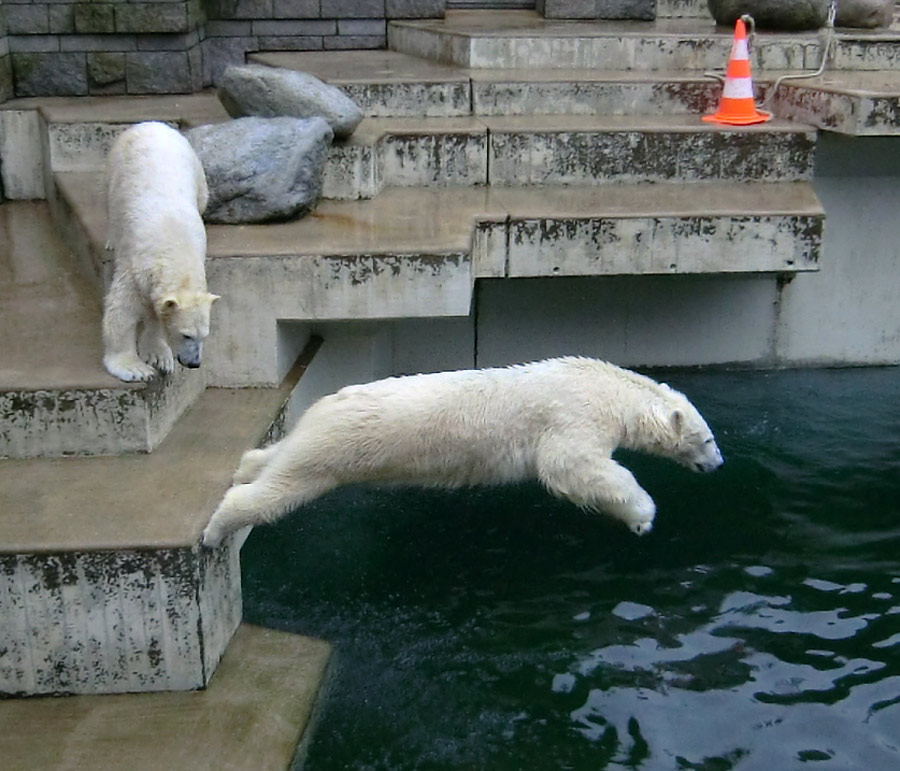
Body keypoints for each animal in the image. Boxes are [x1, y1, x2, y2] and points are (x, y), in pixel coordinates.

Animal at [101, 120, 218, 382]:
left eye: (204, 335)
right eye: (186, 334)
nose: (194, 363)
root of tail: (151, 124)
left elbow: (155, 314)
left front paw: (158, 355)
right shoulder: (135, 268)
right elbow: (122, 310)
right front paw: (134, 368)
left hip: (197, 169)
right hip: (115, 166)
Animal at [202, 358, 724, 548]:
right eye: (707, 438)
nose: (718, 464)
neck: (609, 388)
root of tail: (324, 403)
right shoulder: (573, 417)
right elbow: (571, 468)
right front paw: (642, 516)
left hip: (316, 434)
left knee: (275, 458)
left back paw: (246, 466)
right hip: (337, 447)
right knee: (285, 487)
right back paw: (214, 531)